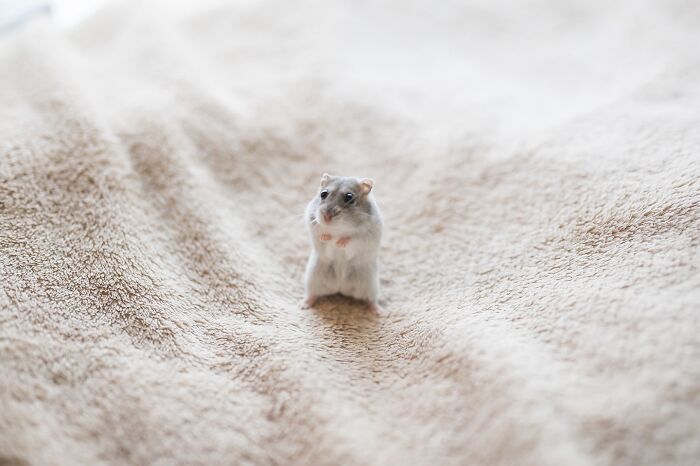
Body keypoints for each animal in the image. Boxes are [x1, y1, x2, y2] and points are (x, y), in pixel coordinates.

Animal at [302, 173, 384, 314]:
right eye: (323, 194)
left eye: (349, 197)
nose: (327, 218)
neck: (338, 228)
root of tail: (340, 288)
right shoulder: (313, 223)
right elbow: (321, 234)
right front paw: (327, 237)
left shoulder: (364, 237)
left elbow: (352, 238)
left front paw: (340, 243)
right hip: (312, 279)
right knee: (312, 294)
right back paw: (303, 305)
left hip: (371, 286)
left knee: (371, 300)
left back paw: (379, 311)